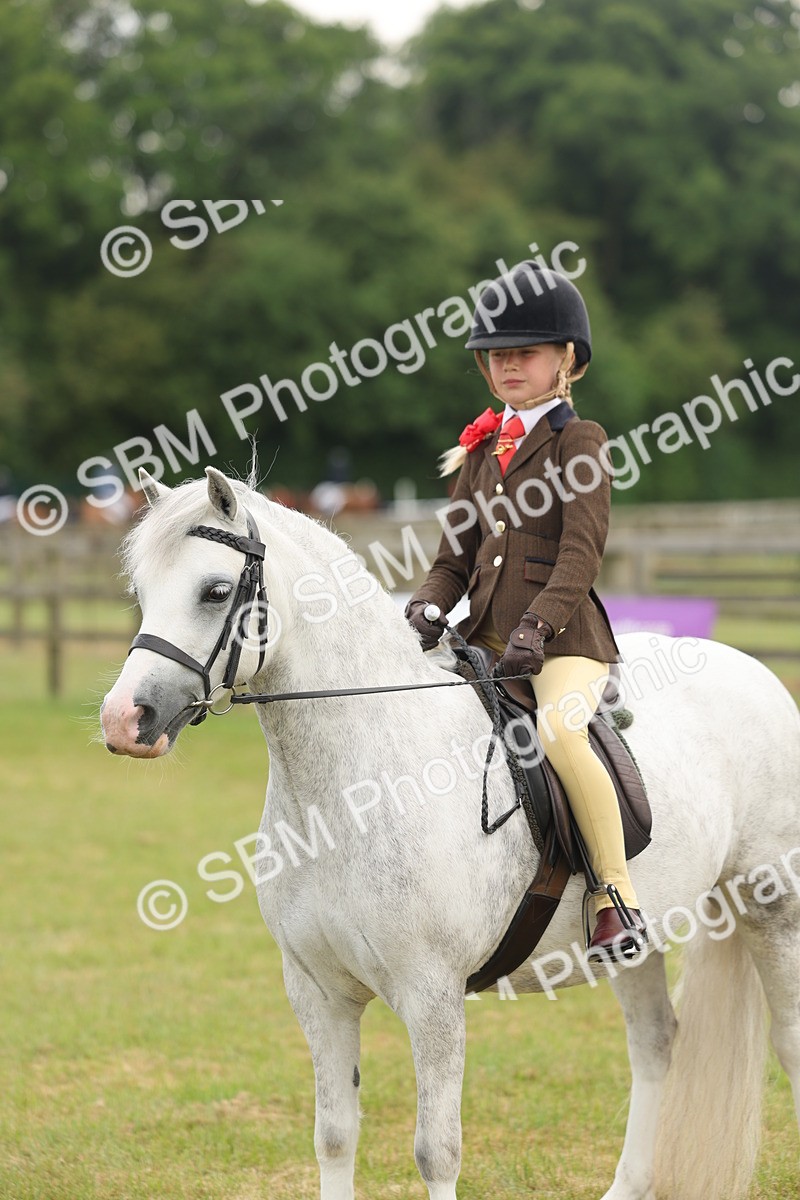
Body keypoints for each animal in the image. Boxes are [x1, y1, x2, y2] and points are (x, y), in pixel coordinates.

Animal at [101, 466, 800, 1200]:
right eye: (141, 592)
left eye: (214, 591)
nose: (124, 720)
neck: (355, 784)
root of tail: (752, 668)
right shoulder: (317, 992)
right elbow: (334, 1135)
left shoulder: (431, 995)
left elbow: (436, 1150)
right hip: (636, 938)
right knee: (656, 1041)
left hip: (769, 901)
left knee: (787, 1041)